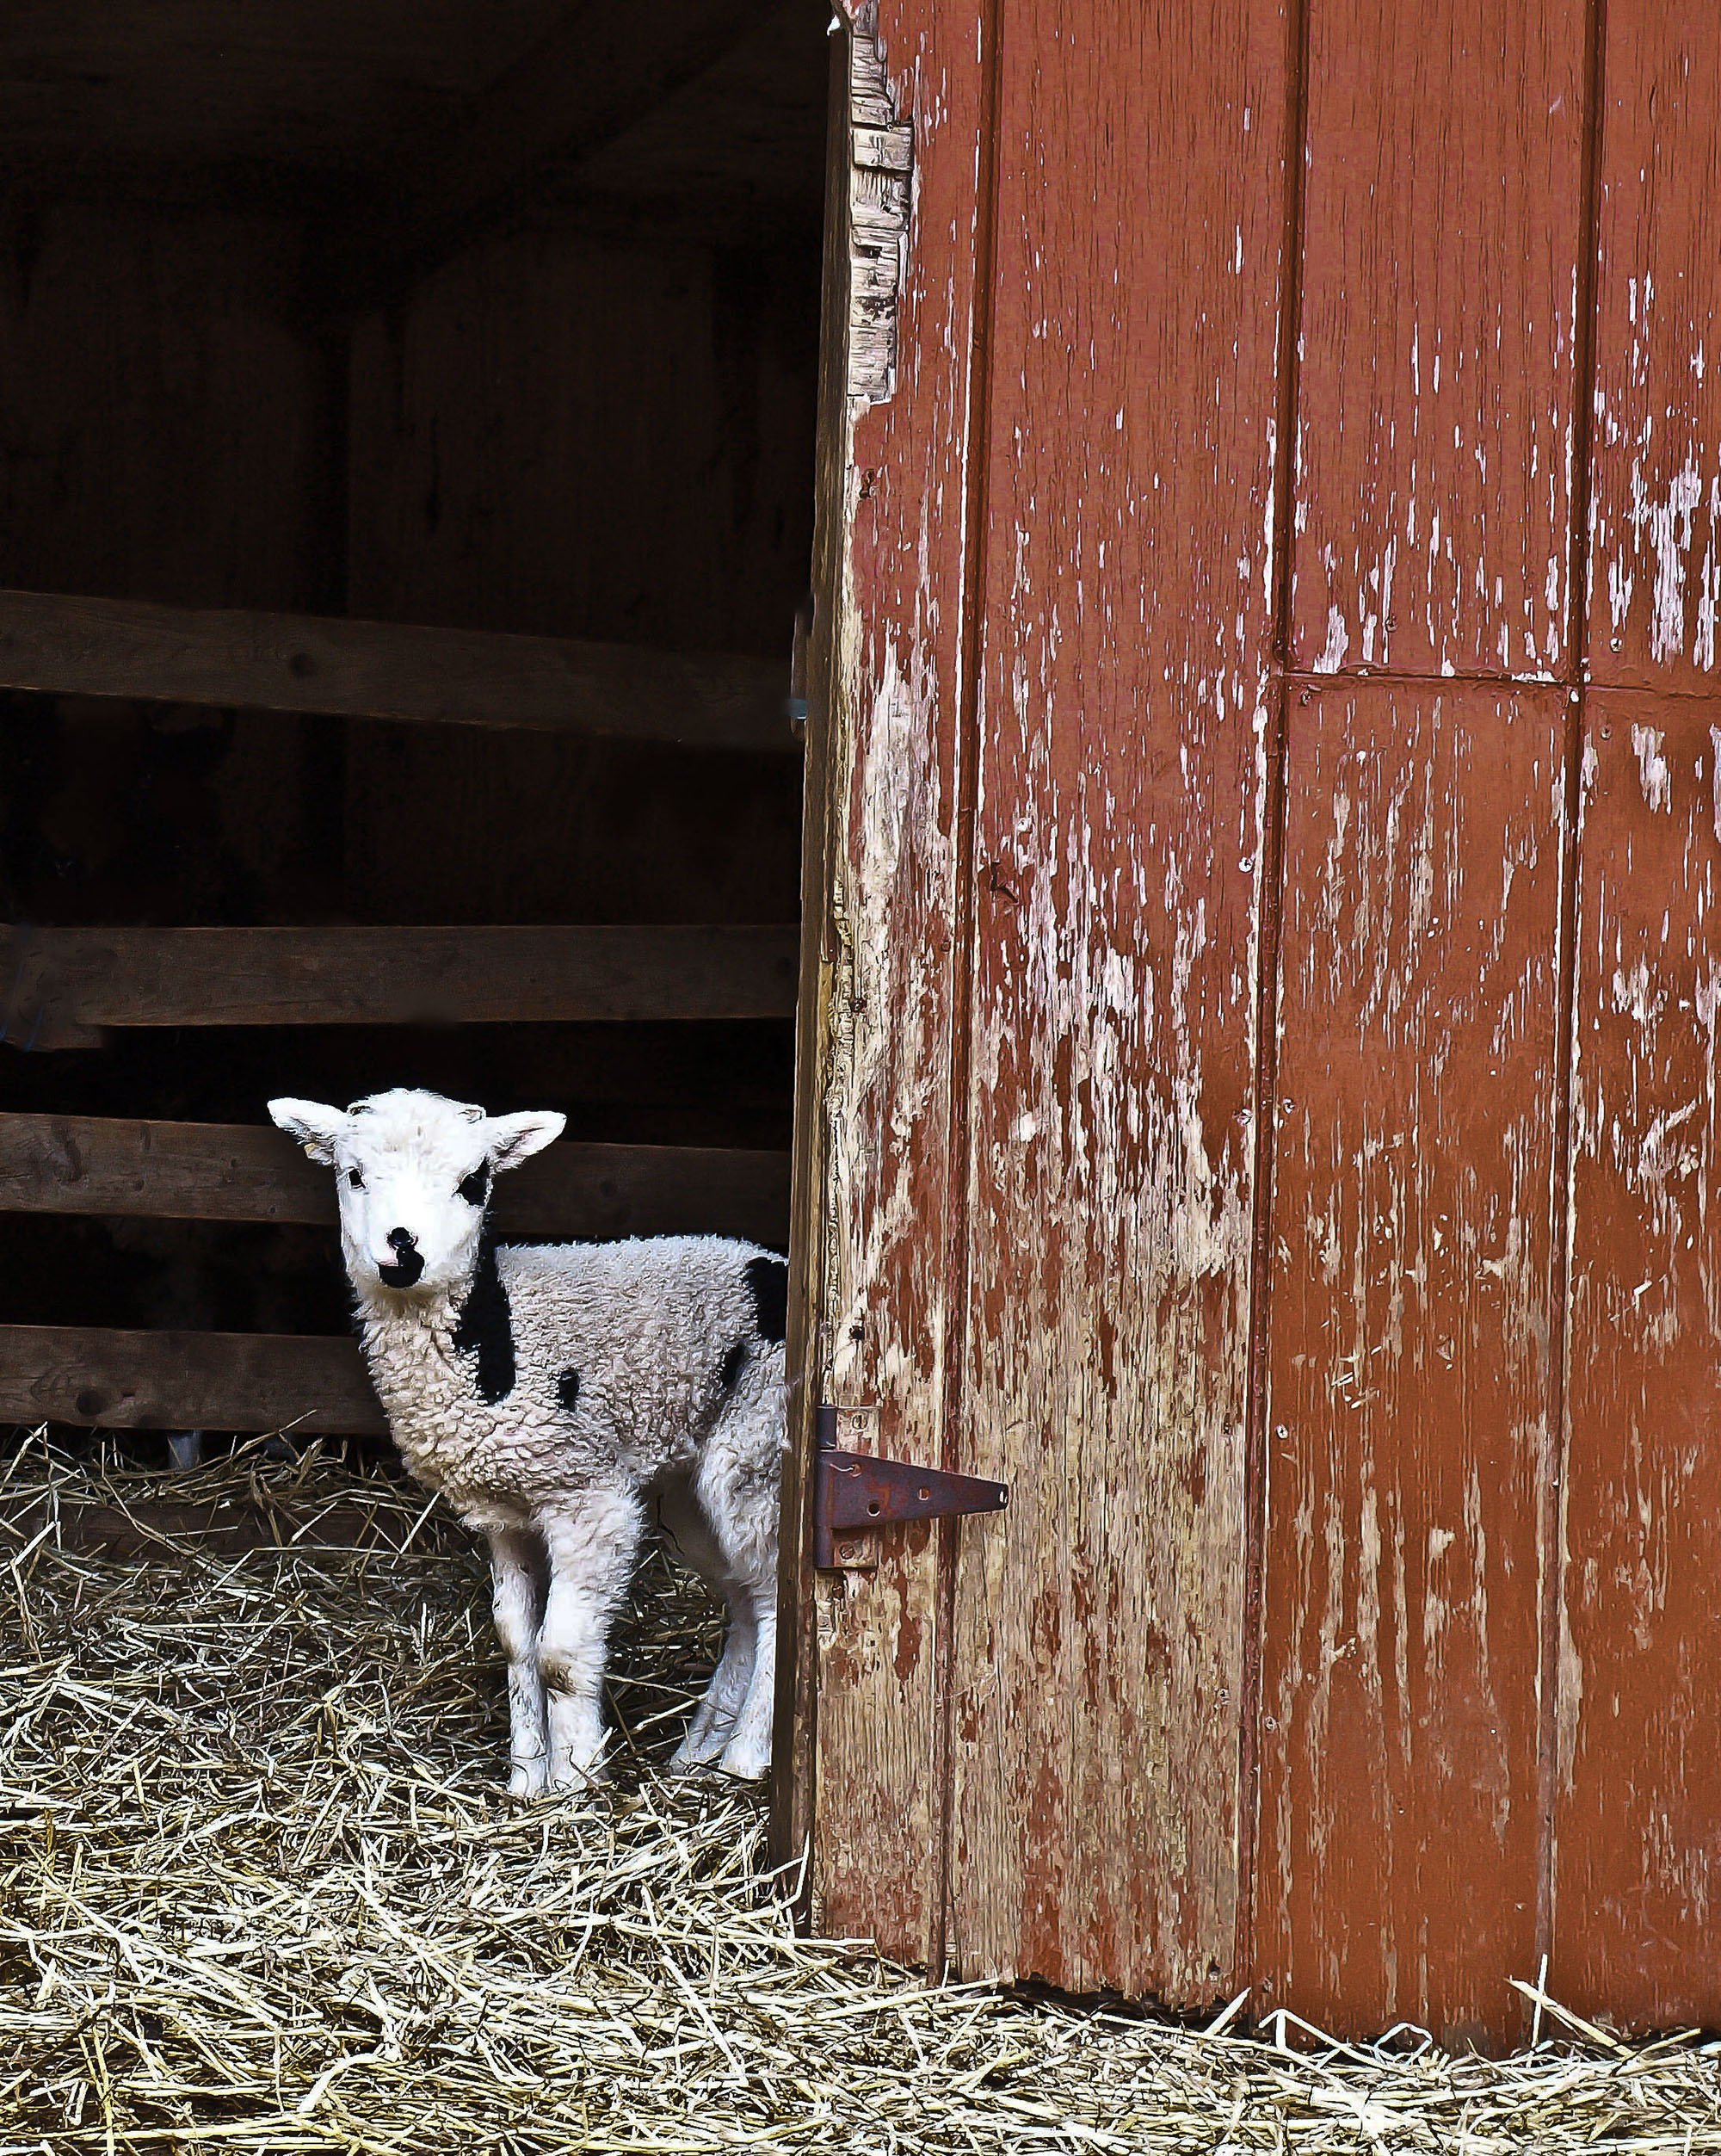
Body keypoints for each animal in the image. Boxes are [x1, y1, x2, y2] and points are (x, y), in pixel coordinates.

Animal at [267, 1086, 786, 1793]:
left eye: (472, 1181)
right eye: (353, 1175)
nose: (402, 1252)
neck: (496, 1335)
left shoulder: (586, 1498)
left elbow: (560, 1653)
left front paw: (574, 1782)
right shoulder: (505, 1510)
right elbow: (516, 1641)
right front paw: (526, 1779)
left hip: (756, 1447)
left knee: (774, 1590)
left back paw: (745, 1755)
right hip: (690, 1484)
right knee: (743, 1597)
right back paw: (699, 1752)